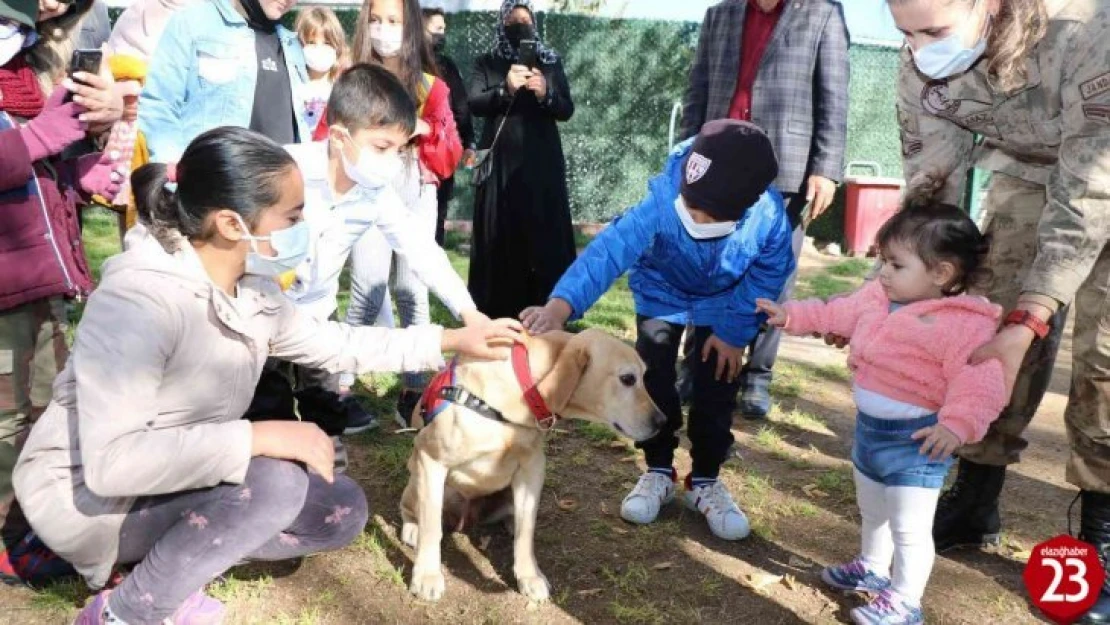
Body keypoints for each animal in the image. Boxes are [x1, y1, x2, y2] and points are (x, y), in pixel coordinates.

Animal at [399, 330, 661, 603]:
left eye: (644, 376)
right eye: (628, 379)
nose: (662, 421)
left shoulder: (532, 470)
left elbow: (527, 532)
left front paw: (529, 575)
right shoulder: (431, 458)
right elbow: (431, 527)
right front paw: (427, 575)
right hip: (419, 481)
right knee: (411, 509)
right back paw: (412, 529)